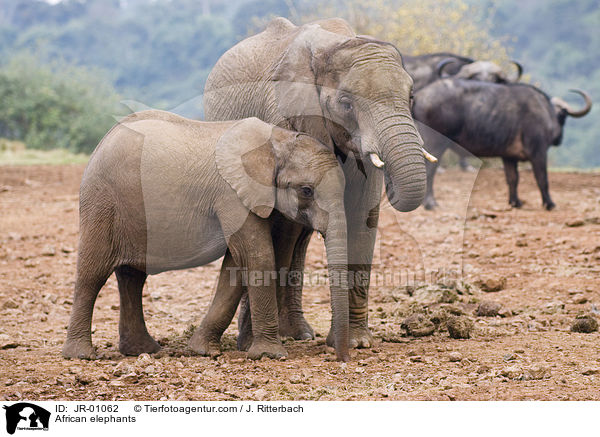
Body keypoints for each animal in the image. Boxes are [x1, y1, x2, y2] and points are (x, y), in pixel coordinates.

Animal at [62, 110, 352, 362]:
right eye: (306, 191)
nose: (339, 357)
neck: (278, 141)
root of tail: (105, 139)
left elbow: (236, 265)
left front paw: (201, 350)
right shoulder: (231, 194)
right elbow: (256, 256)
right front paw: (270, 355)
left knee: (132, 278)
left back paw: (143, 350)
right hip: (102, 202)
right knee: (93, 274)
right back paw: (81, 355)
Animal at [204, 17, 428, 350]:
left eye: (411, 98)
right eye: (346, 104)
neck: (336, 43)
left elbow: (362, 218)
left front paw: (356, 343)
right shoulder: (285, 116)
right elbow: (281, 227)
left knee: (301, 239)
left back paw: (299, 333)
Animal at [412, 79, 592, 210]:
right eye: (563, 116)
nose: (558, 139)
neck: (545, 112)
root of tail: (420, 95)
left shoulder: (509, 157)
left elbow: (513, 179)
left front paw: (515, 202)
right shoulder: (539, 153)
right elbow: (542, 178)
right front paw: (549, 204)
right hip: (436, 144)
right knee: (430, 171)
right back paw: (430, 203)